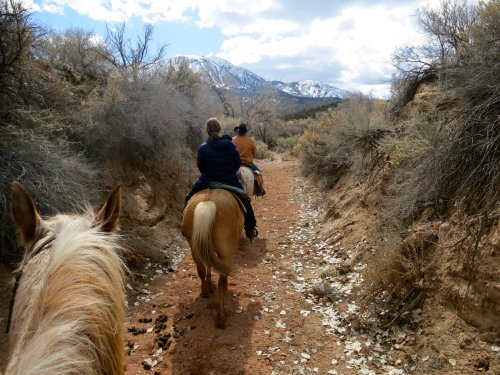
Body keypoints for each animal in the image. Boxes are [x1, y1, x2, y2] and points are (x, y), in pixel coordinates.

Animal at [184, 189, 246, 328]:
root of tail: (207, 202)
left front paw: (209, 279)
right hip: (226, 252)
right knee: (222, 281)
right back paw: (221, 315)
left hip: (194, 246)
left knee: (200, 270)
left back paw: (205, 291)